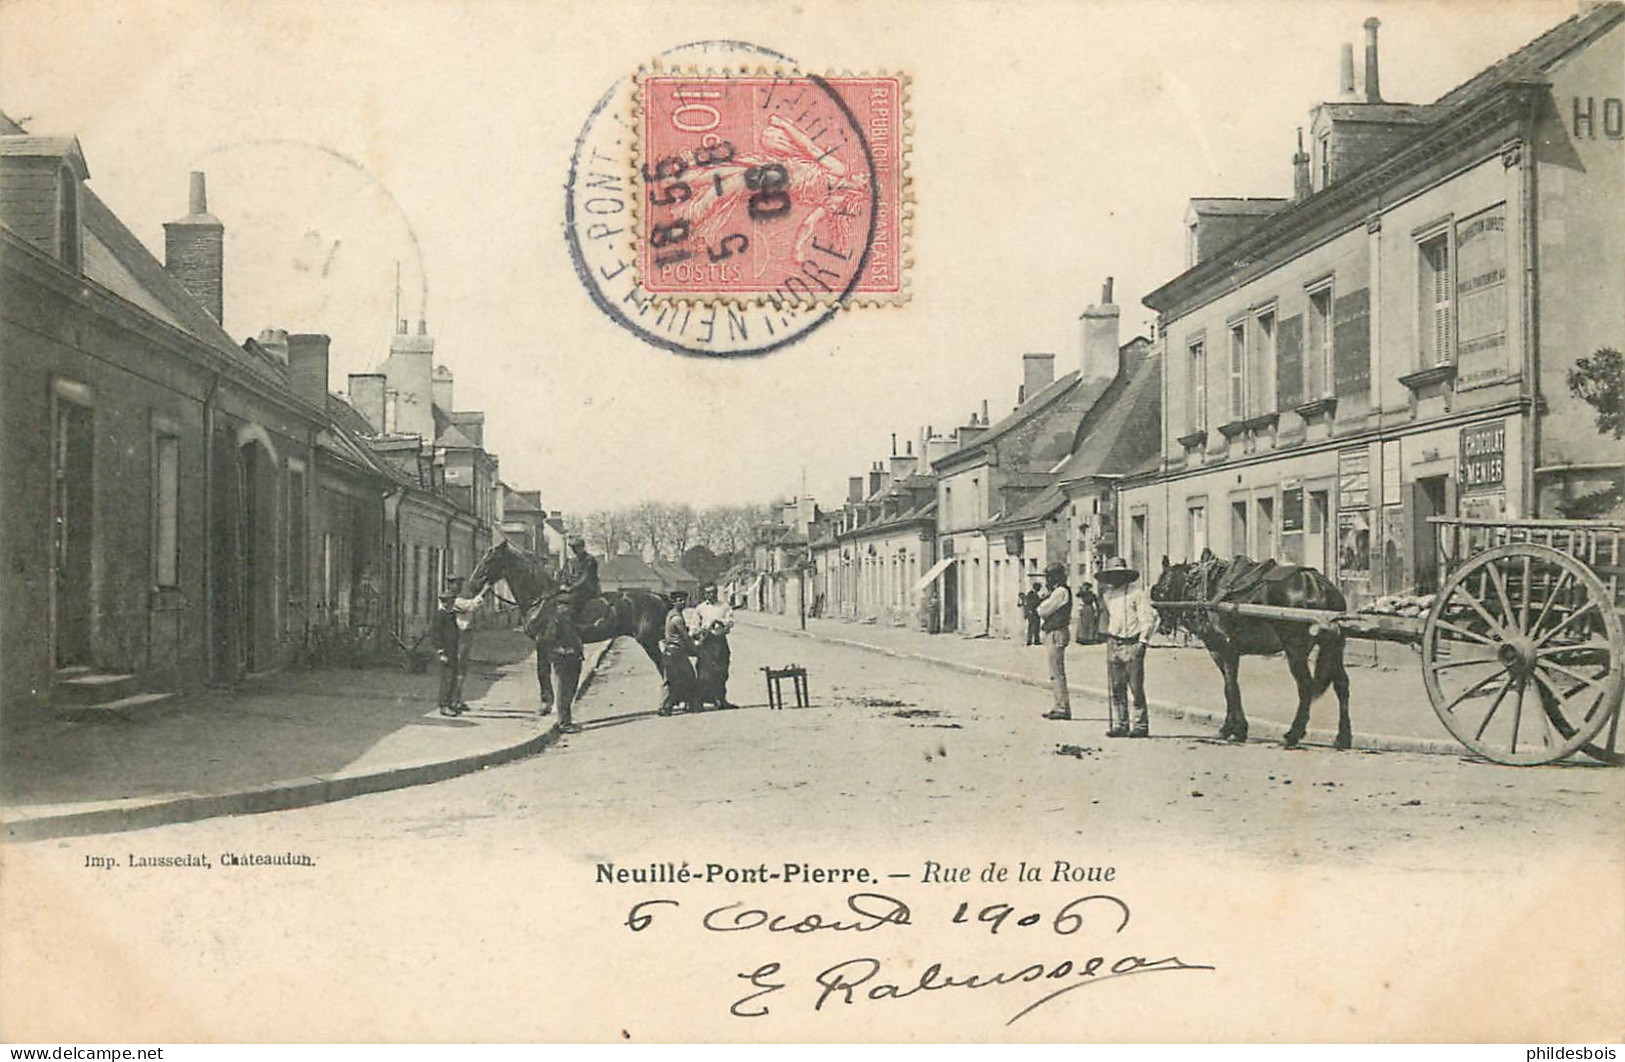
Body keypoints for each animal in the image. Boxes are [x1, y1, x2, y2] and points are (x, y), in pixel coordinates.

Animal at [468, 545, 669, 711]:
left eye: (490, 559)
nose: (472, 584)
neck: (540, 600)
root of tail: (659, 597)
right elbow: (545, 672)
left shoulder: (542, 641)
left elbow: (542, 671)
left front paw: (545, 705)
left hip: (648, 641)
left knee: (663, 666)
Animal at [1150, 552, 1365, 753]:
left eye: (1160, 590)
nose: (1162, 628)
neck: (1204, 587)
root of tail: (1319, 587)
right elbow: (1231, 686)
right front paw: (1234, 728)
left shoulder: (1222, 648)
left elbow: (1230, 687)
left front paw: (1234, 729)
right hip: (1333, 646)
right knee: (1341, 686)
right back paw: (1343, 737)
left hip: (1295, 649)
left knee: (1305, 687)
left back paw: (1293, 734)